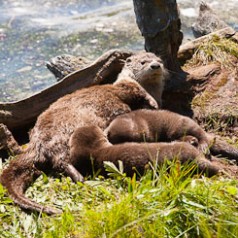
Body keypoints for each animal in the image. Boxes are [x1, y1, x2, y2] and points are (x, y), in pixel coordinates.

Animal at [0, 53, 162, 214]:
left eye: (159, 60)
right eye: (143, 62)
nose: (155, 65)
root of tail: (36, 141)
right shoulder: (126, 86)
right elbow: (137, 92)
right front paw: (152, 102)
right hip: (63, 137)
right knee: (60, 160)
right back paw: (81, 178)